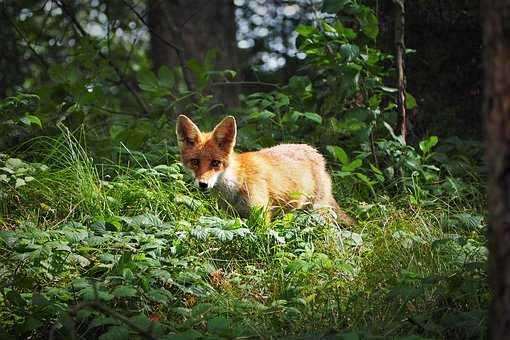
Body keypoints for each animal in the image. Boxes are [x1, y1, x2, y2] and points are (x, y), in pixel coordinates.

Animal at [175, 115, 354, 226]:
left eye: (215, 163)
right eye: (195, 162)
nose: (203, 184)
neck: (236, 182)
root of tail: (317, 154)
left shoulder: (260, 214)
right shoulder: (234, 216)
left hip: (319, 213)